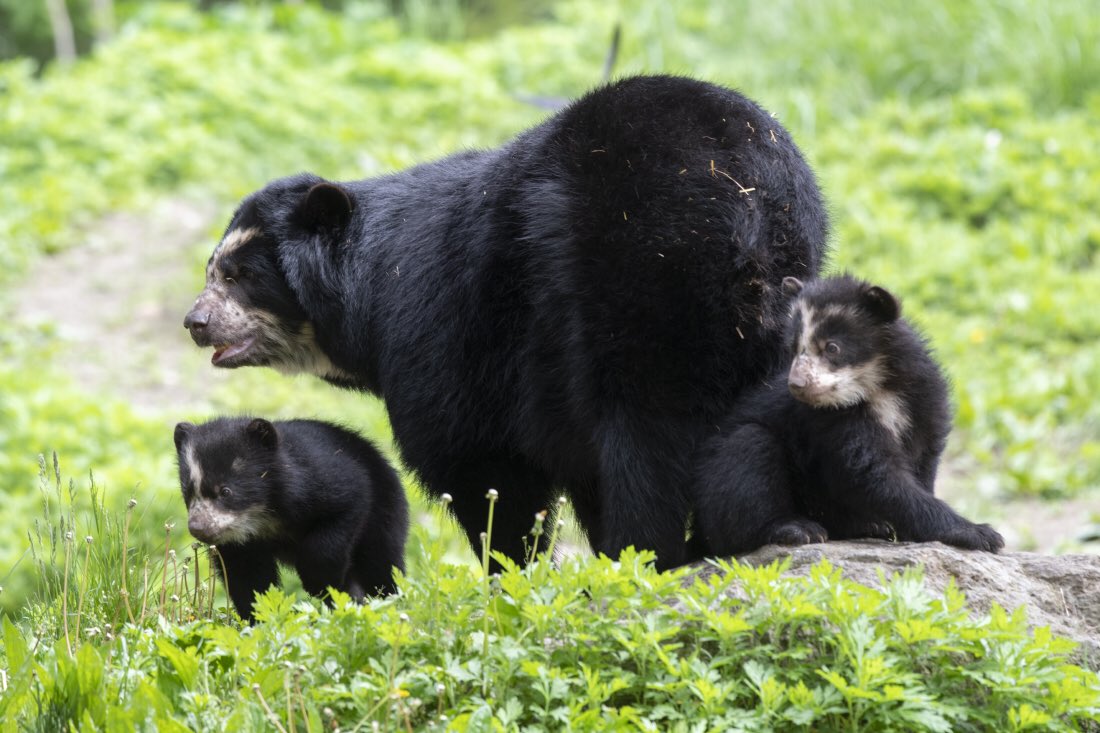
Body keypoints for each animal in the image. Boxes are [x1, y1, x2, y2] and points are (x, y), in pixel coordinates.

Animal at [176, 416, 409, 616]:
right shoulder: (239, 541)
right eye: (188, 492)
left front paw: (319, 583)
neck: (262, 513)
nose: (198, 527)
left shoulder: (322, 483)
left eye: (225, 491)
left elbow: (345, 507)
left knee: (380, 564)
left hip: (384, 512)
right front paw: (258, 616)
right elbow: (247, 576)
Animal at [184, 72, 827, 563]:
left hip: (640, 281)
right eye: (213, 267)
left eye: (239, 275)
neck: (366, 295)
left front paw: (513, 570)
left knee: (644, 437)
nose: (195, 322)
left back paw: (647, 553)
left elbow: (480, 465)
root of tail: (748, 202)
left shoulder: (443, 330)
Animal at [695, 274, 1007, 554]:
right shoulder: (836, 420)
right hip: (720, 488)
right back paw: (795, 529)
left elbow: (924, 462)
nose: (797, 384)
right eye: (794, 348)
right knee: (750, 450)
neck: (878, 388)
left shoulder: (925, 401)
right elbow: (875, 474)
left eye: (832, 347)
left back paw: (871, 526)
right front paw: (980, 533)